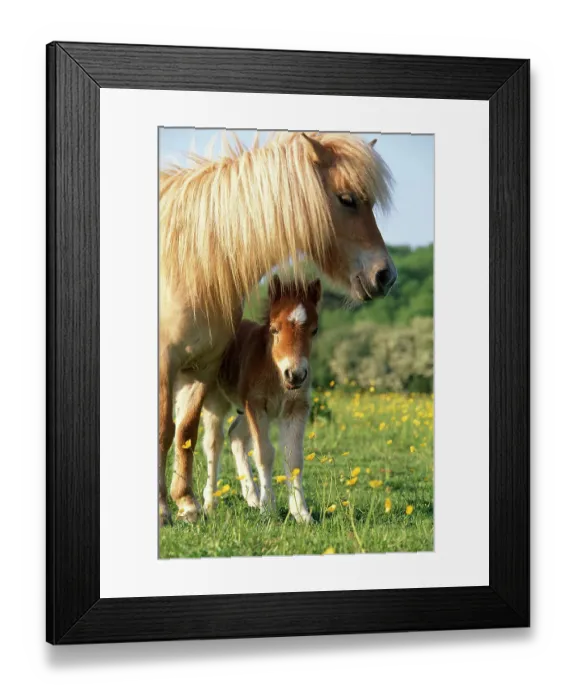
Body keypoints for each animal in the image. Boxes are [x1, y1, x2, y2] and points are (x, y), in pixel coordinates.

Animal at [199, 276, 321, 524]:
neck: (274, 372)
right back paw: (210, 503)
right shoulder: (256, 406)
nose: (295, 375)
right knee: (214, 443)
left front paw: (302, 513)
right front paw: (268, 508)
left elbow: (294, 458)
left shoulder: (296, 408)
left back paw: (252, 497)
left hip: (244, 409)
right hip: (217, 401)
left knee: (236, 436)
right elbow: (264, 453)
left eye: (314, 330)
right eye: (274, 329)